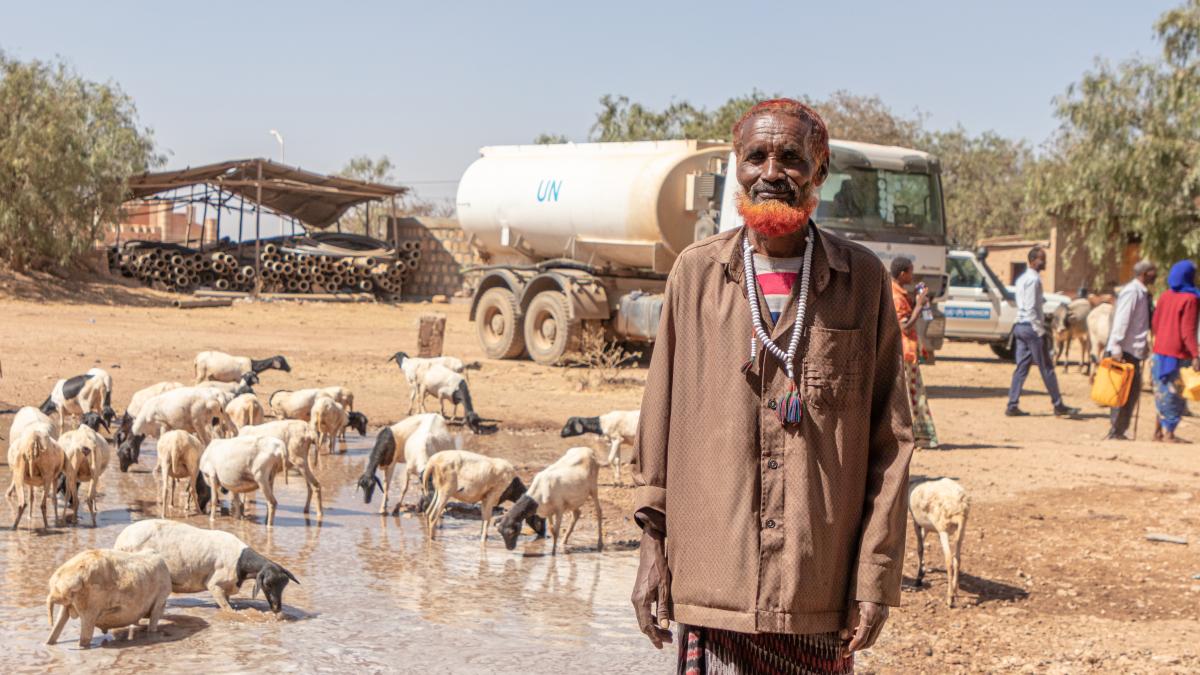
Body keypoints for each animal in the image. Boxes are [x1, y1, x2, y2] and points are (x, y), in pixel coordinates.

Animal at [112, 514, 300, 614]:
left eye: (284, 584)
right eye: (268, 584)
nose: (277, 608)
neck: (241, 561)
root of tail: (121, 540)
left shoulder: (226, 589)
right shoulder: (214, 585)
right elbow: (229, 611)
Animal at [907, 475, 974, 607]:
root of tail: (959, 505)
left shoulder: (916, 522)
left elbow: (920, 548)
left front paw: (919, 578)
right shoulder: (927, 527)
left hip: (943, 528)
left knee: (948, 559)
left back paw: (950, 598)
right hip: (961, 529)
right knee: (957, 559)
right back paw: (955, 590)